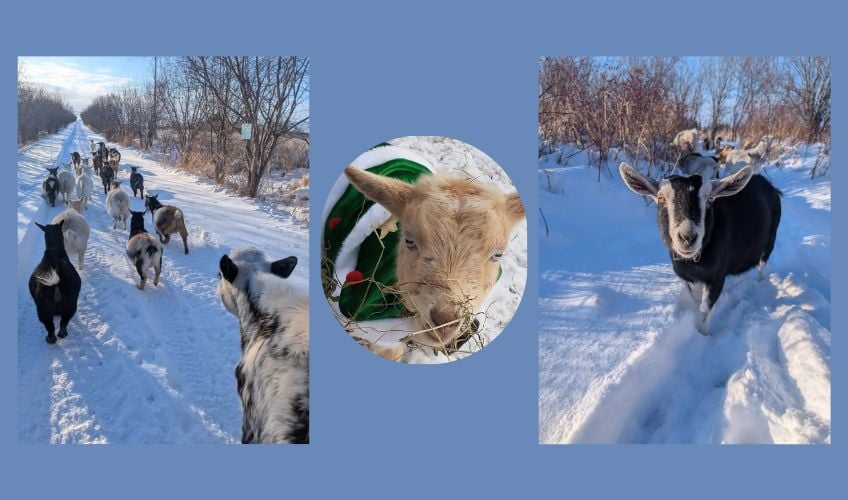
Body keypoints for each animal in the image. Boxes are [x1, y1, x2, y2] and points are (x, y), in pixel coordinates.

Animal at [619, 162, 781, 334]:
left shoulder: (716, 276)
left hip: (771, 237)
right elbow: (696, 298)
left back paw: (760, 281)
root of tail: (770, 186)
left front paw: (703, 334)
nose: (688, 237)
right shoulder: (690, 277)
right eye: (661, 198)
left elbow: (705, 308)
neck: (694, 262)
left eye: (710, 199)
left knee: (763, 263)